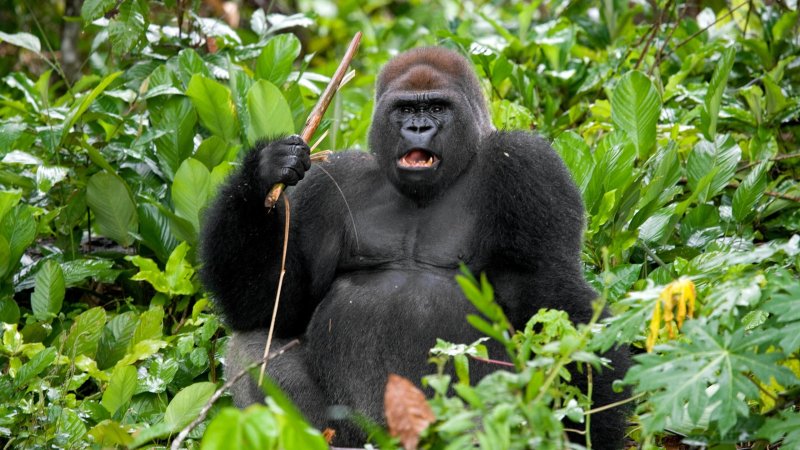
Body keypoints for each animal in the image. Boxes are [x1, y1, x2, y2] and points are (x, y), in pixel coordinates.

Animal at [198, 45, 624, 446]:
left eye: (436, 107)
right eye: (405, 109)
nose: (418, 127)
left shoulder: (528, 165)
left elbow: (554, 297)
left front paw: (595, 431)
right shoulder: (328, 183)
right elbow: (275, 306)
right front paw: (262, 174)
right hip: (350, 435)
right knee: (253, 344)